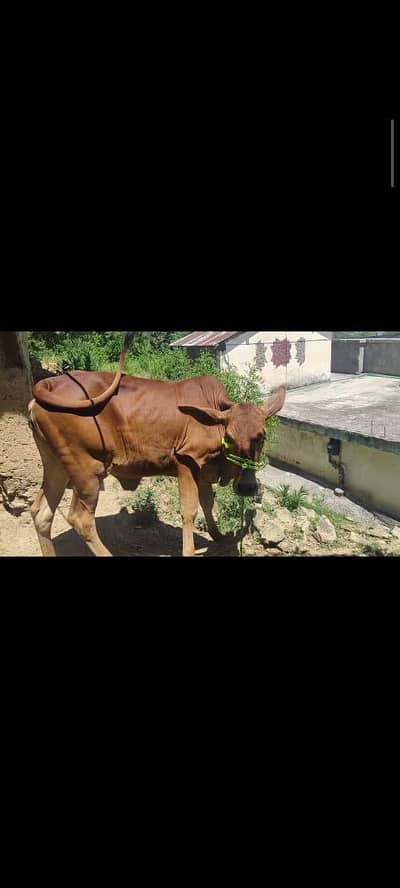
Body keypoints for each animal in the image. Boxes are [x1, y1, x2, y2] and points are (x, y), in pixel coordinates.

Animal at [28, 333, 286, 556]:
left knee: (41, 513)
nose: (247, 487)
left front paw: (219, 536)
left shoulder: (203, 471)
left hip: (57, 464)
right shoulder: (185, 463)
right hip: (87, 470)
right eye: (229, 438)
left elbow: (207, 503)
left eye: (262, 436)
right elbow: (190, 511)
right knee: (80, 519)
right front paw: (190, 549)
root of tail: (50, 384)